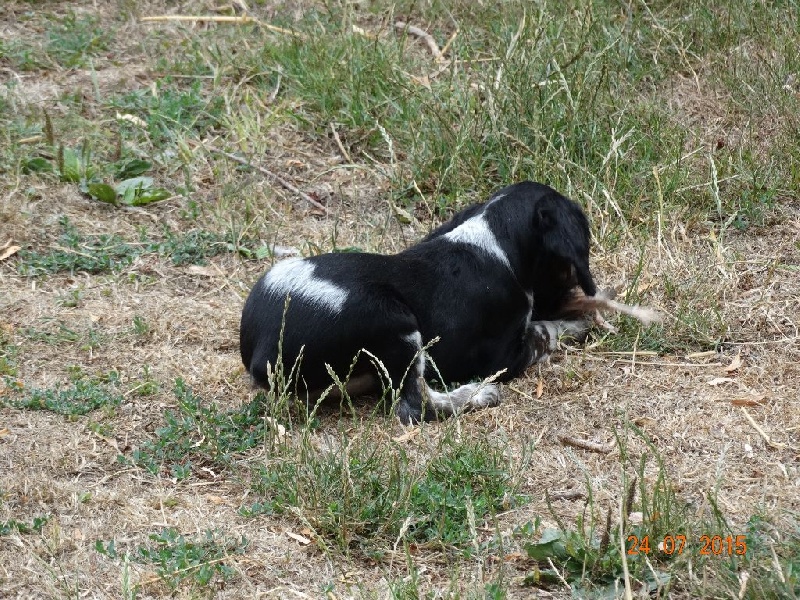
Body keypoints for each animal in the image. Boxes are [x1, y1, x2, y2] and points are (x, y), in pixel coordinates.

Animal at [240, 181, 601, 424]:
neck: (495, 242)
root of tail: (260, 352)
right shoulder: (503, 358)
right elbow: (545, 331)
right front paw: (580, 322)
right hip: (392, 319)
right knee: (417, 405)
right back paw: (477, 394)